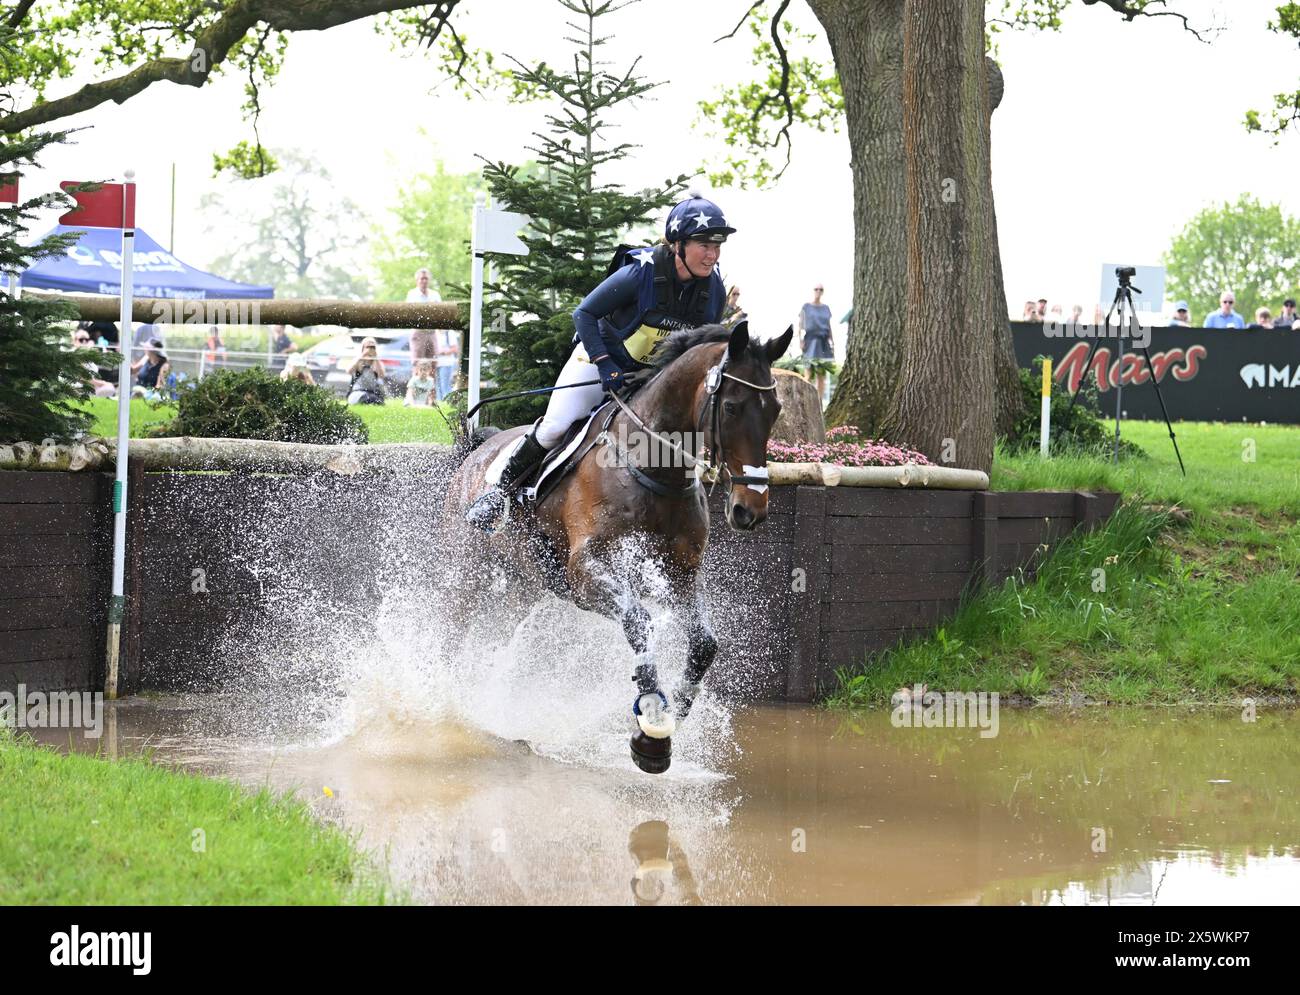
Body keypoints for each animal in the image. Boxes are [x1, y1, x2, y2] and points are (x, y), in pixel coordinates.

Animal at [441, 322, 790, 769]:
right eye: (730, 407)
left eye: (775, 409)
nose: (751, 510)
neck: (655, 470)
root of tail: (476, 451)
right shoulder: (585, 571)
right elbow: (638, 621)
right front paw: (652, 726)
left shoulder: (680, 574)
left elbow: (704, 643)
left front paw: (676, 713)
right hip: (468, 570)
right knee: (450, 629)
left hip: (522, 585)